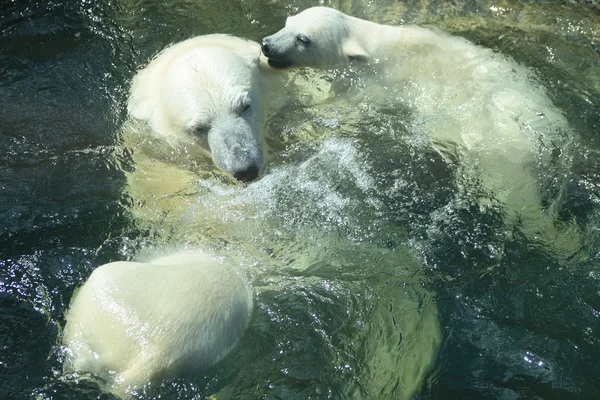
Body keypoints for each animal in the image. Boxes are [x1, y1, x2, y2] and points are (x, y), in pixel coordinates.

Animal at [262, 6, 576, 255]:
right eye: (288, 22)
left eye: (303, 39)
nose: (266, 45)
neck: (373, 46)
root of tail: (550, 141)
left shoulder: (376, 85)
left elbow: (342, 108)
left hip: (498, 155)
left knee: (513, 197)